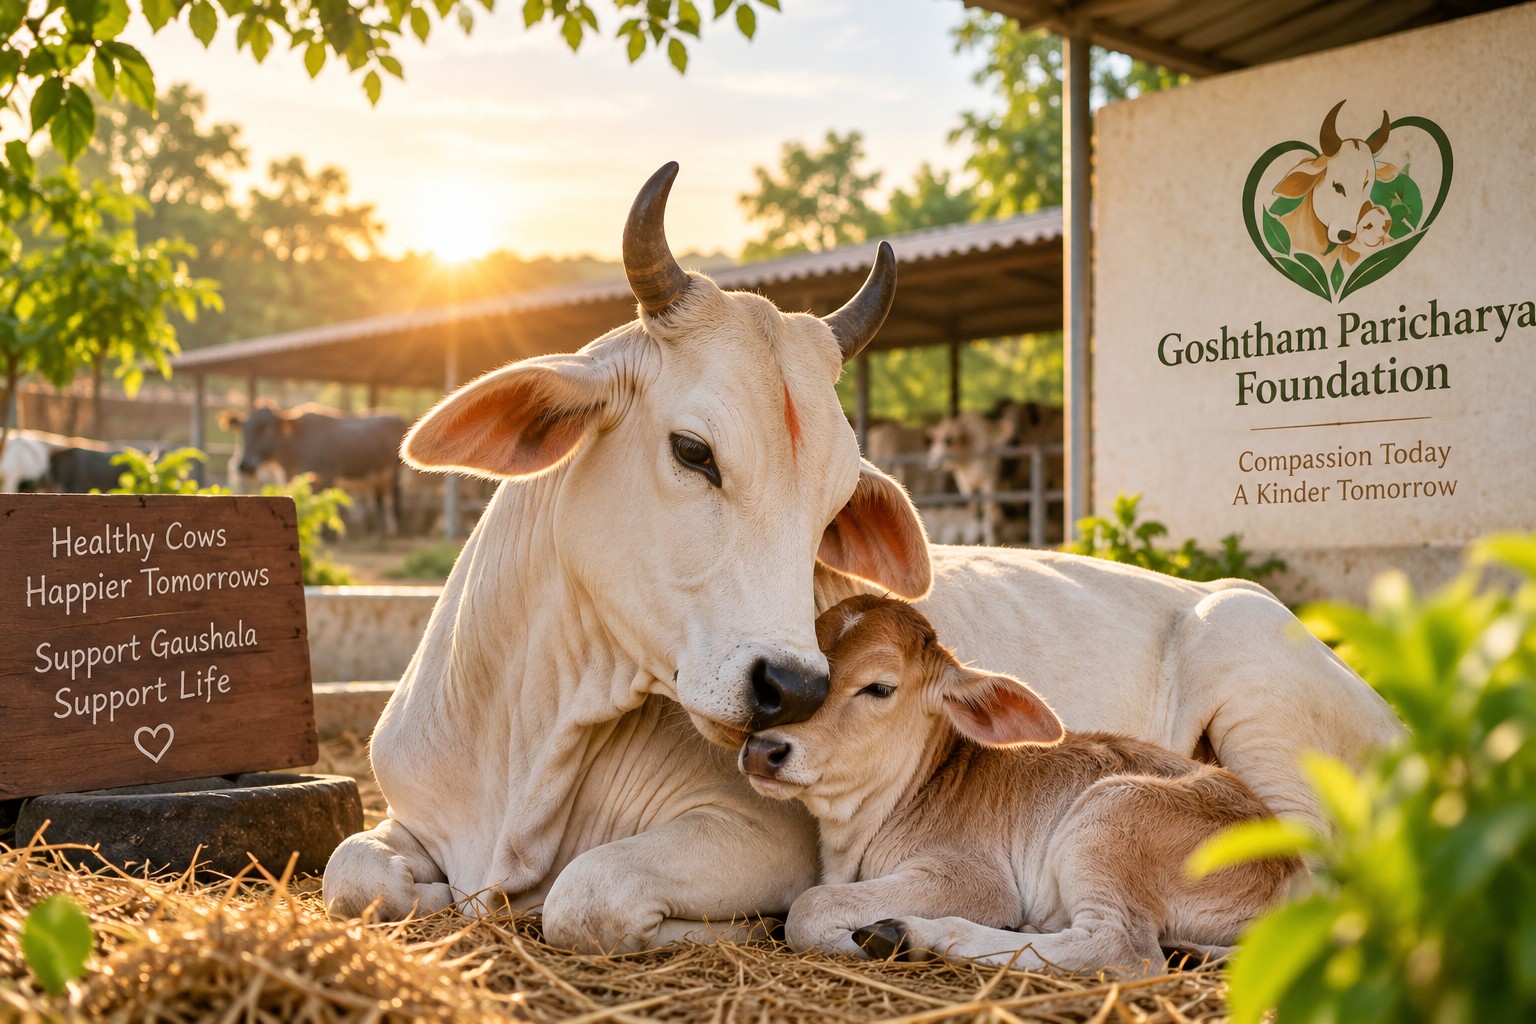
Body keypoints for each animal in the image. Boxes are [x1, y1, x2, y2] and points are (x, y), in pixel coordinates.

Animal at [223, 403, 407, 537]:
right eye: (243, 429)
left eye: (266, 428)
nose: (244, 465)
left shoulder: (326, 477)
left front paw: (330, 537)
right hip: (377, 478)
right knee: (380, 501)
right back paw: (378, 535)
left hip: (394, 475)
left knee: (394, 497)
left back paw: (396, 532)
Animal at [741, 595, 1298, 976]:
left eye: (879, 687)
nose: (763, 749)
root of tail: (1292, 866)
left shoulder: (975, 879)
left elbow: (808, 906)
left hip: (1111, 816)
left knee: (1121, 949)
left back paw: (907, 935)